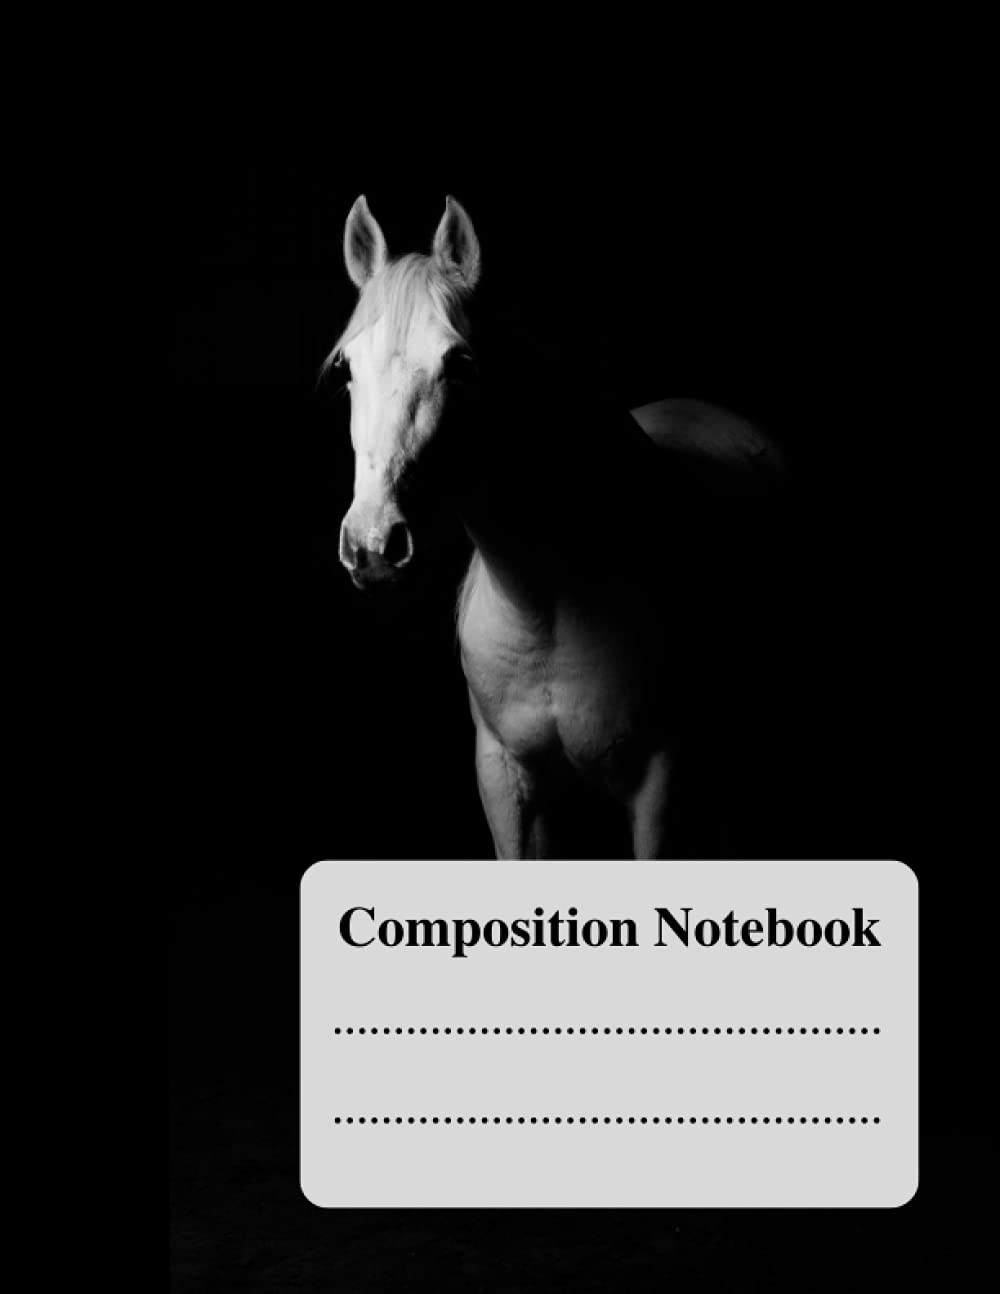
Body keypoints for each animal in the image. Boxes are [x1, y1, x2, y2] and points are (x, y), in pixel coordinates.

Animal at [329, 195, 787, 859]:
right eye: (347, 369)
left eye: (459, 363)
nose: (371, 544)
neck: (545, 605)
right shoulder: (504, 780)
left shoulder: (663, 784)